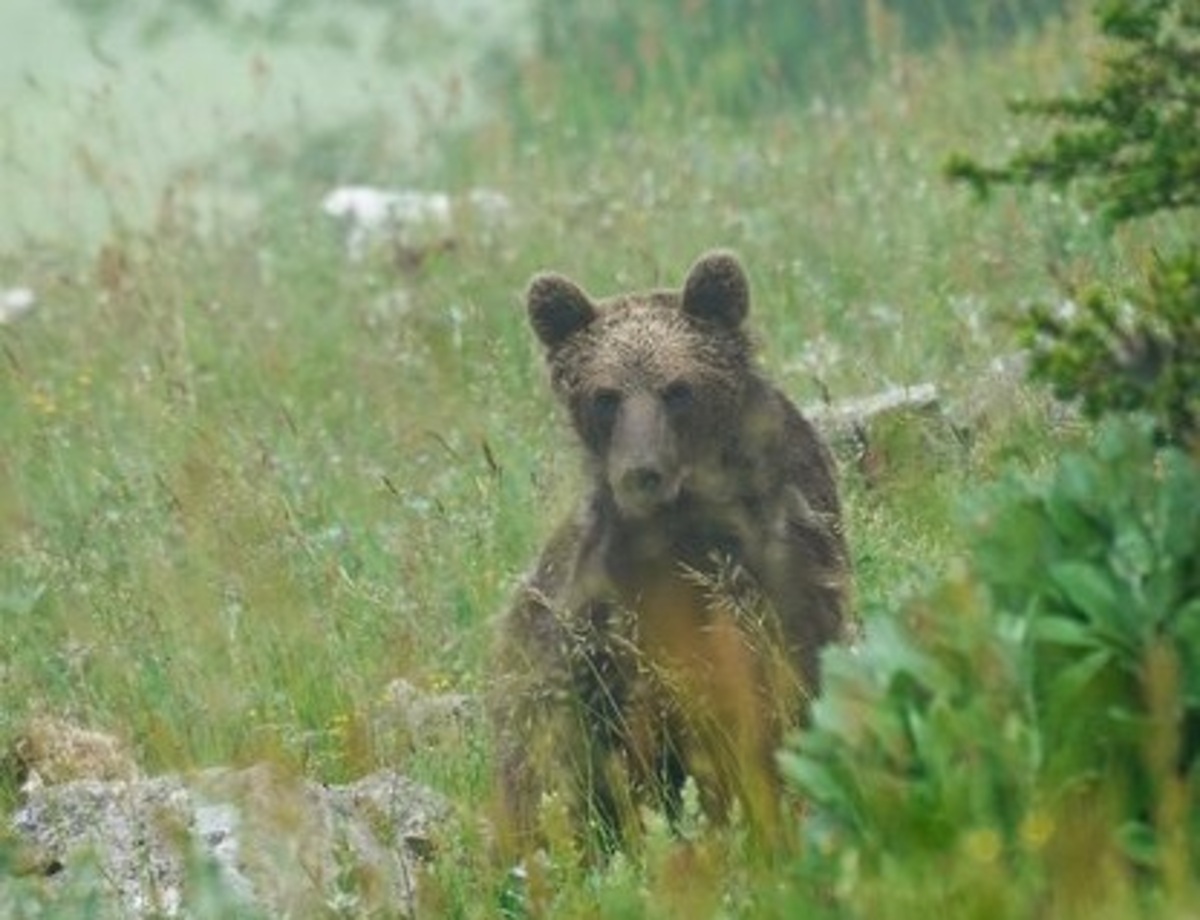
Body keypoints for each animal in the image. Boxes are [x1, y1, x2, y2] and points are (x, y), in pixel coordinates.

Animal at [487, 248, 854, 858]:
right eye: (606, 396)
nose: (642, 473)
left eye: (677, 389)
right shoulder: (606, 608)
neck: (683, 522)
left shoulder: (782, 560)